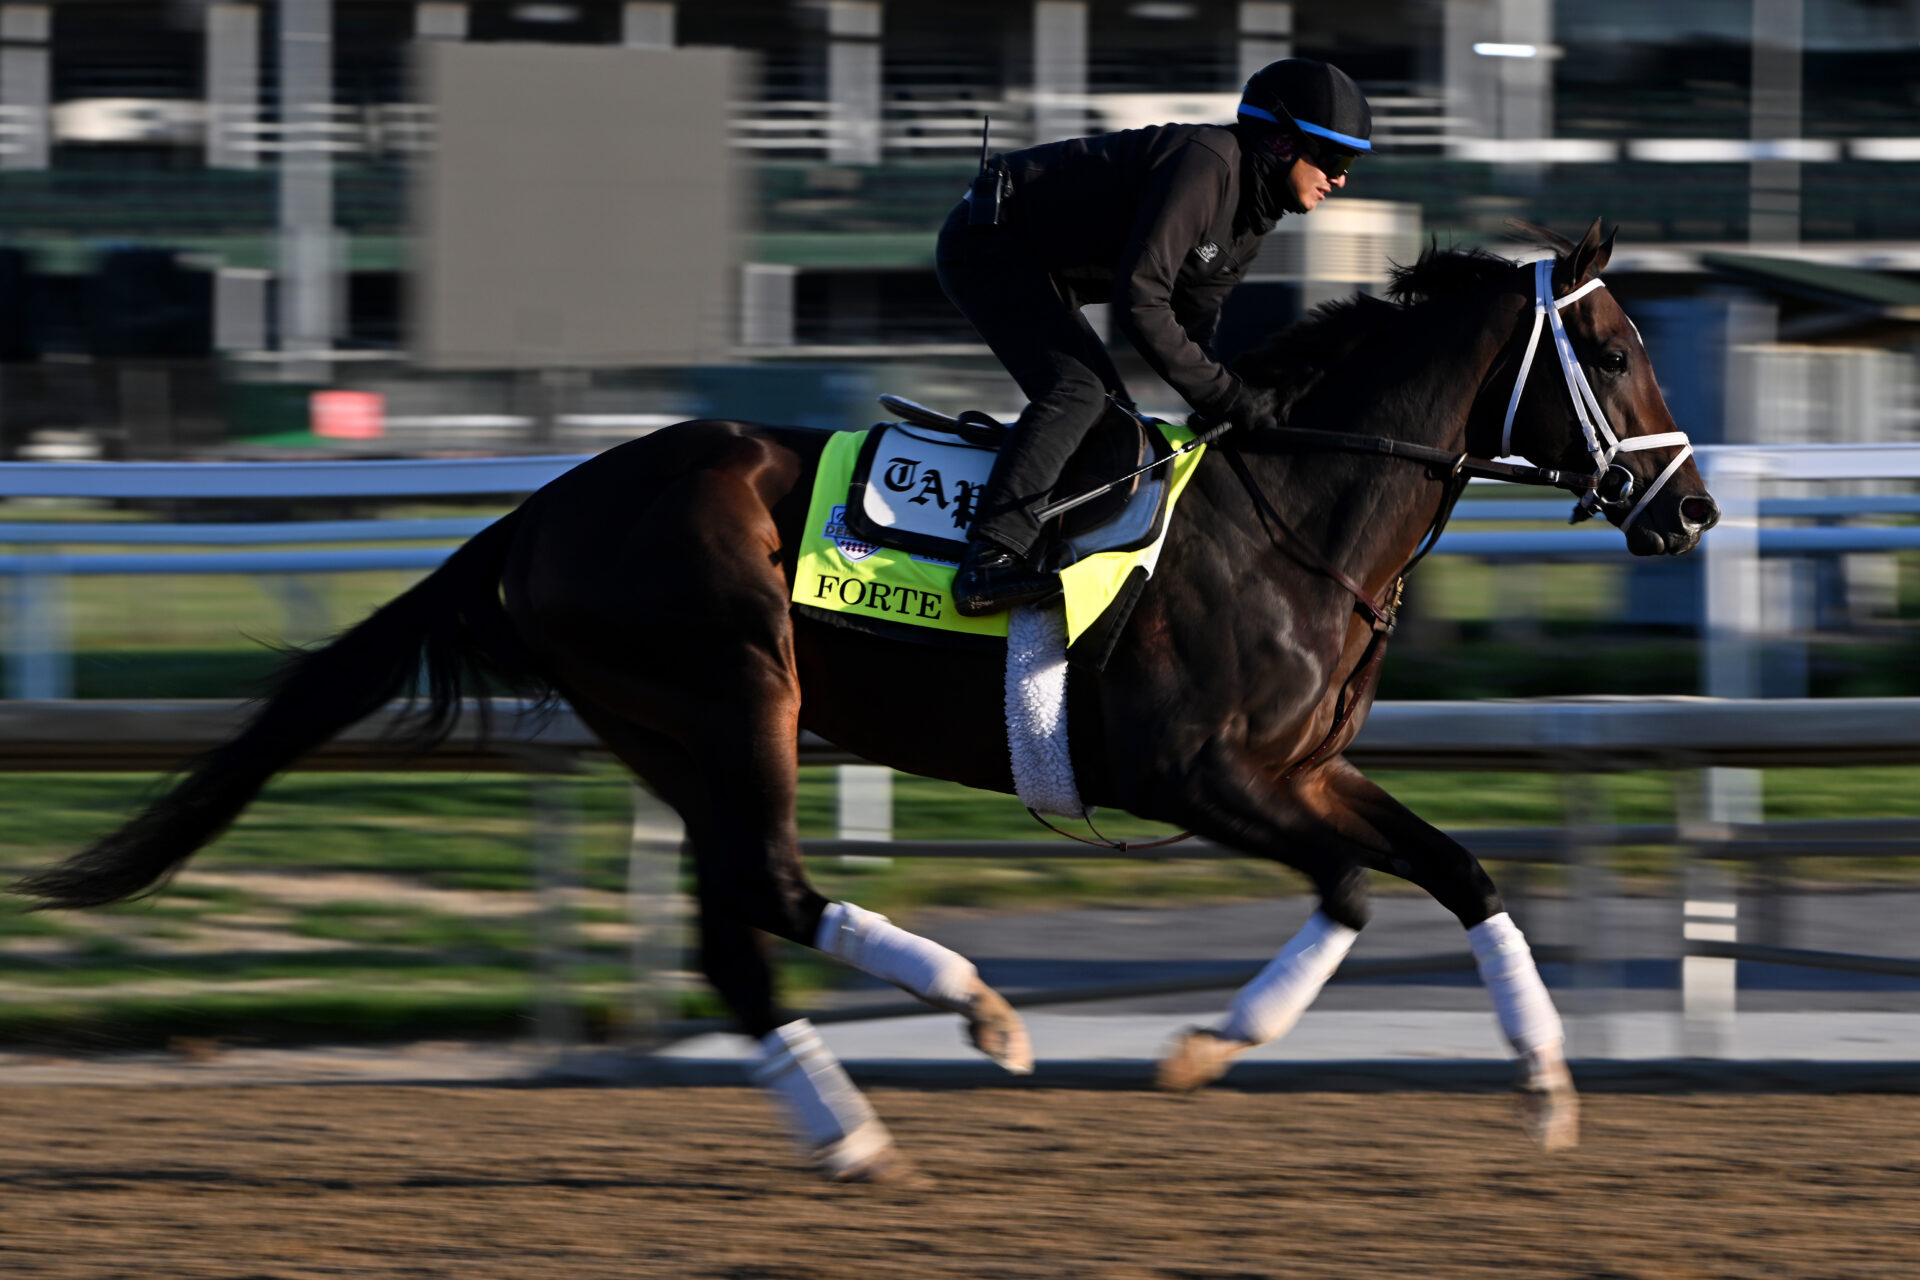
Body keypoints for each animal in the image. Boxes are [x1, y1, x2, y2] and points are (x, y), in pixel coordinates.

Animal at [18, 220, 1728, 1182]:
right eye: (1615, 346)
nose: (1693, 513)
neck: (1293, 512)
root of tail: (547, 506)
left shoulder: (1298, 769)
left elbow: (1448, 870)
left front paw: (1542, 1085)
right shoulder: (1195, 775)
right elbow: (1367, 889)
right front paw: (1211, 1046)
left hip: (671, 728)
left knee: (735, 925)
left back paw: (860, 1113)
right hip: (734, 692)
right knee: (769, 892)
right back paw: (946, 1036)